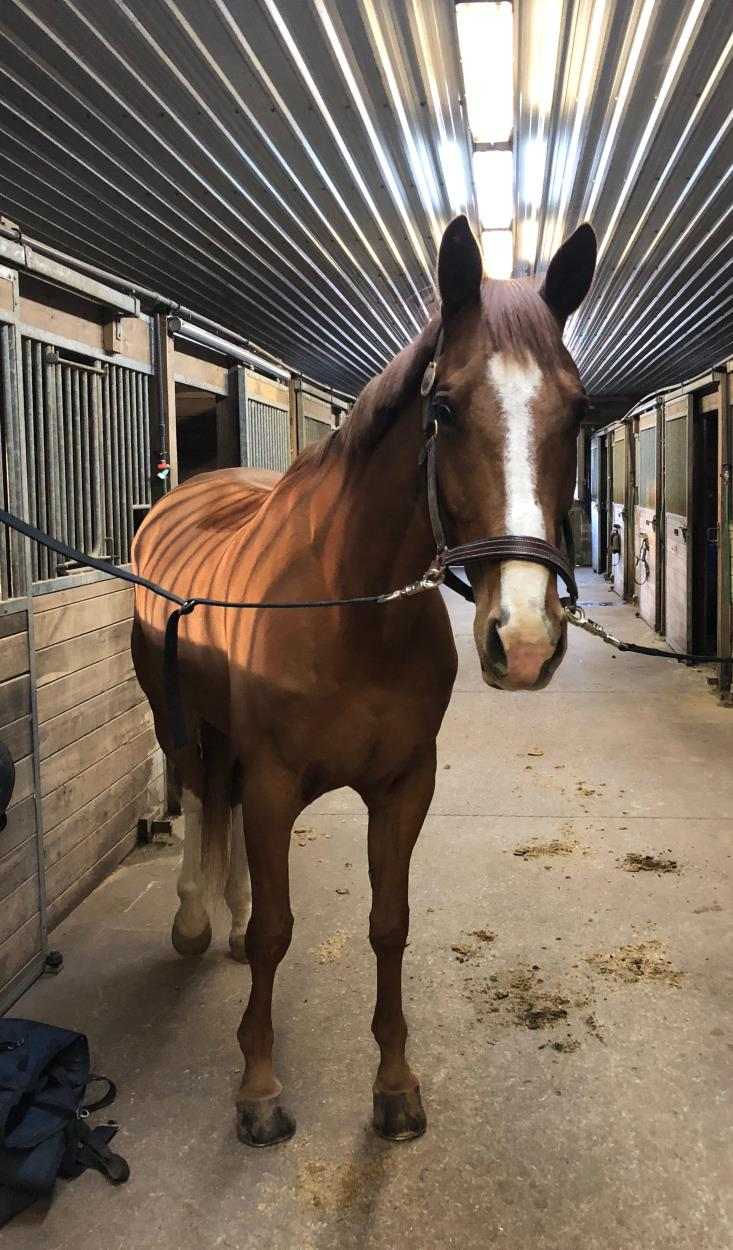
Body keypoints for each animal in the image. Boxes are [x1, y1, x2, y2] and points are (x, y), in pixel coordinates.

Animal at [131, 215, 596, 1147]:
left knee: (220, 802)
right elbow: (277, 932)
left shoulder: (403, 783)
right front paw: (259, 1090)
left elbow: (389, 926)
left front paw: (394, 1087)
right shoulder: (278, 782)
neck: (349, 611)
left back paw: (223, 918)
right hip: (175, 714)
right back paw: (197, 919)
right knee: (198, 793)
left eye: (578, 410)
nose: (525, 640)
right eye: (443, 407)